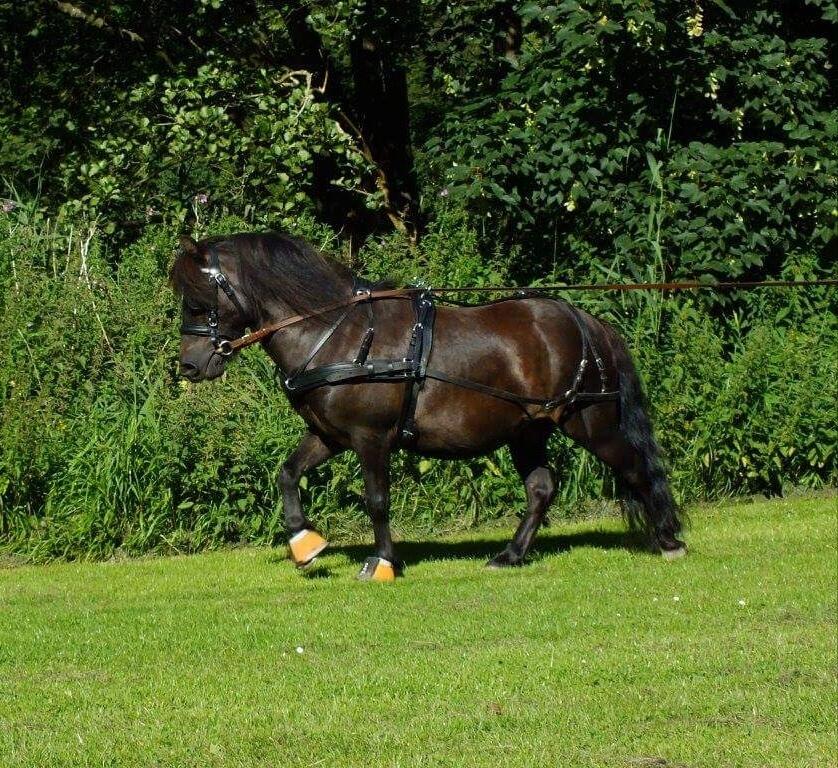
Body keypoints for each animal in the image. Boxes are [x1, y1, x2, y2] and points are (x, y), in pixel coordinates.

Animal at [174, 231, 684, 580]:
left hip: (590, 421)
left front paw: (382, 562)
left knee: (635, 468)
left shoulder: (370, 437)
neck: (340, 333)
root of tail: (586, 321)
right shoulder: (330, 434)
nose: (190, 365)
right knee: (542, 487)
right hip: (528, 430)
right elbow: (287, 473)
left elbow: (377, 499)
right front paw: (305, 542)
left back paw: (669, 540)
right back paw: (509, 555)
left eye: (199, 302)